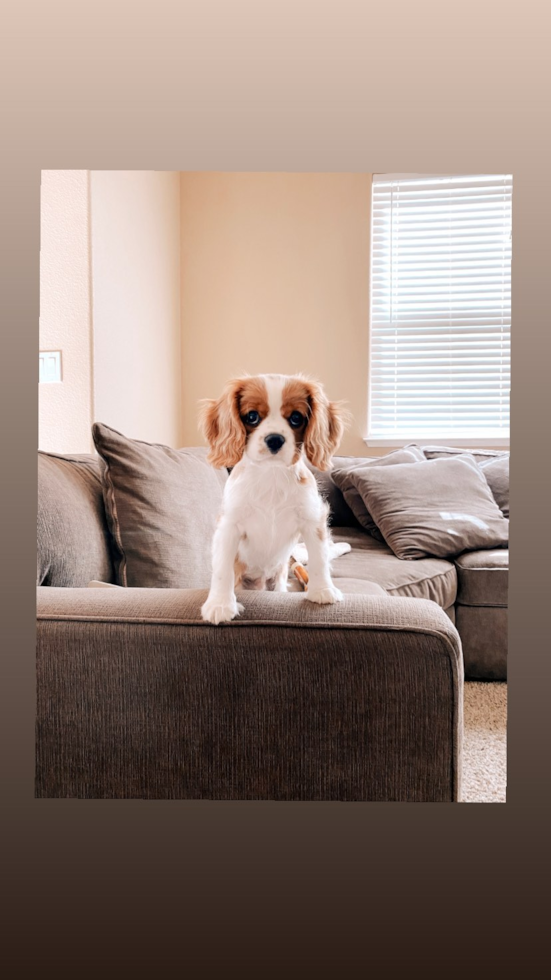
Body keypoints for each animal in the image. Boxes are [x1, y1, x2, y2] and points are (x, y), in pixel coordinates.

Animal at [198, 372, 350, 624]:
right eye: (251, 416)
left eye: (296, 418)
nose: (275, 439)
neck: (272, 474)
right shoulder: (228, 525)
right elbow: (222, 569)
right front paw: (219, 605)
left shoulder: (312, 520)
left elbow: (319, 557)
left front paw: (322, 591)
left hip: (278, 581)